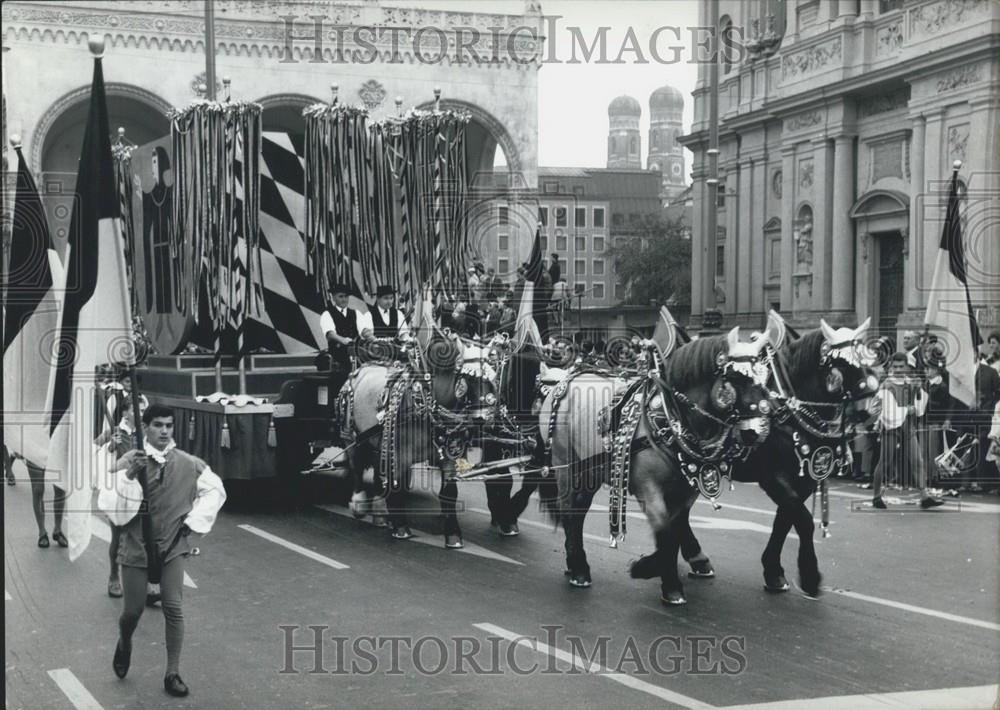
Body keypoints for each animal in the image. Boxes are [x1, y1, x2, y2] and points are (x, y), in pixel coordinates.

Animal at [540, 326, 772, 604]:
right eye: (736, 377)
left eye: (765, 378)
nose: (756, 432)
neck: (671, 419)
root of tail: (564, 380)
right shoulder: (647, 487)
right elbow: (664, 529)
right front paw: (659, 577)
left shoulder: (686, 490)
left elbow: (675, 529)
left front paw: (668, 572)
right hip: (564, 464)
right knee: (568, 510)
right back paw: (578, 568)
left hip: (591, 471)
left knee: (579, 509)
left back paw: (575, 563)